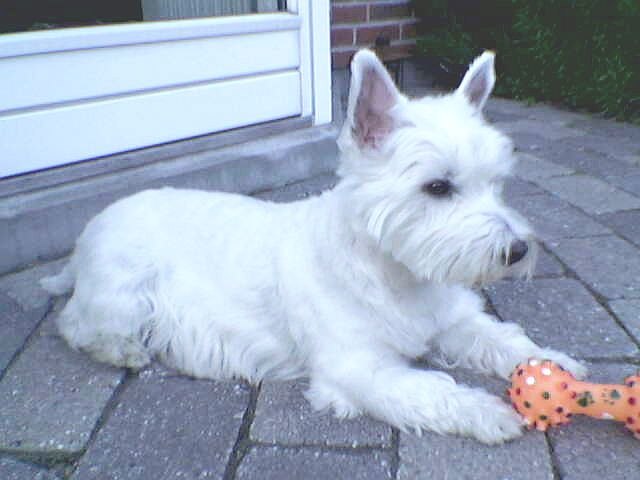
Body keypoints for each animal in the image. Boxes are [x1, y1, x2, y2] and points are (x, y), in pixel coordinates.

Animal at [40, 48, 584, 442]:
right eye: (437, 187)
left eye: (497, 182)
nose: (518, 251)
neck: (395, 275)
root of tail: (90, 231)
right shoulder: (358, 367)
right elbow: (428, 389)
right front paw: (490, 413)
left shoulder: (453, 320)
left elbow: (503, 339)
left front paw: (561, 367)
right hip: (124, 292)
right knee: (76, 323)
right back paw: (123, 350)